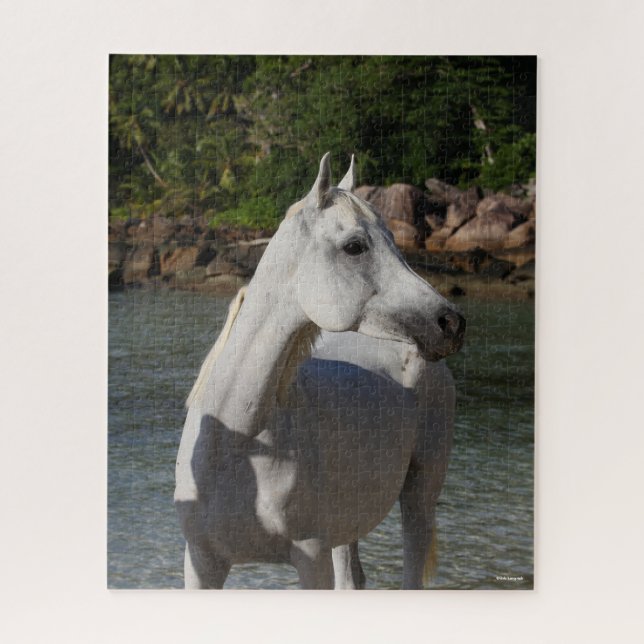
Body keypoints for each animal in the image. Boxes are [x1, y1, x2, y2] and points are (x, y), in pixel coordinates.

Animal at [174, 153, 465, 589]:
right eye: (354, 246)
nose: (451, 323)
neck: (240, 442)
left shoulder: (311, 558)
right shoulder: (202, 562)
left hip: (419, 496)